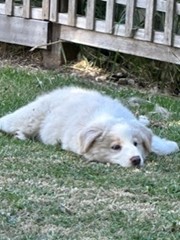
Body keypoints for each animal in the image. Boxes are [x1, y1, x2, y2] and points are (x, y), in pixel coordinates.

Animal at [0, 87, 179, 168]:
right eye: (115, 147)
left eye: (136, 144)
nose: (136, 160)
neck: (107, 116)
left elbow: (157, 143)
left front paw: (170, 145)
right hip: (28, 118)